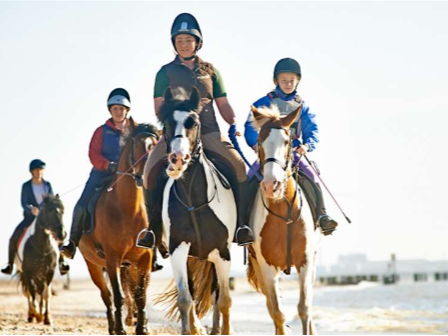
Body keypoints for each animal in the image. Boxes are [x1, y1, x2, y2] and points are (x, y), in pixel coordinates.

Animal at [15, 194, 66, 326]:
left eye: (63, 211)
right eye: (49, 211)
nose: (62, 234)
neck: (42, 246)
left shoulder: (49, 272)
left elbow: (46, 294)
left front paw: (47, 317)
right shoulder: (28, 273)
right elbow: (32, 293)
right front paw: (37, 314)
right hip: (24, 273)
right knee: (28, 293)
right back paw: (31, 315)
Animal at [79, 119, 159, 334]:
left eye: (154, 145)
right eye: (136, 144)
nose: (144, 175)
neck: (128, 210)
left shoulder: (145, 259)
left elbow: (141, 296)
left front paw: (142, 328)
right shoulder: (113, 258)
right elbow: (118, 296)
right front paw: (121, 328)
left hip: (129, 265)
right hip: (94, 265)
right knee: (106, 296)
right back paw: (113, 326)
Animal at [156, 88, 236, 334]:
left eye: (195, 123)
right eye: (166, 124)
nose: (177, 160)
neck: (193, 199)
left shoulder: (223, 253)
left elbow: (224, 300)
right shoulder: (178, 250)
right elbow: (185, 299)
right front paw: (189, 329)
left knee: (218, 295)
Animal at [247, 104, 324, 334]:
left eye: (287, 141)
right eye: (259, 142)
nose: (271, 185)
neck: (284, 213)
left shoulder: (305, 261)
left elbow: (304, 308)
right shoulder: (266, 267)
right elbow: (278, 313)